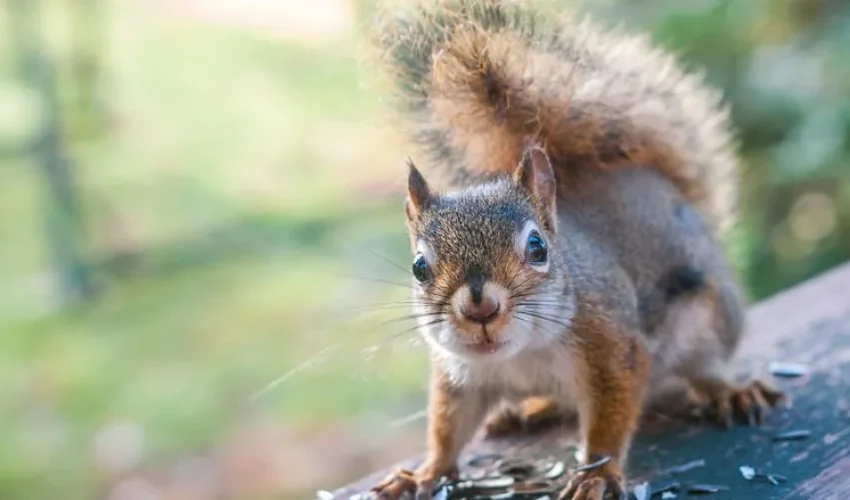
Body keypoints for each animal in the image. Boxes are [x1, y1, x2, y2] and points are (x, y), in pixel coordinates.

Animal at [364, 1, 785, 499]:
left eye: (537, 247)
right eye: (419, 266)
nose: (480, 306)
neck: (521, 354)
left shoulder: (613, 344)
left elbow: (609, 419)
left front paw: (597, 475)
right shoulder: (461, 377)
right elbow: (449, 428)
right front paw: (424, 474)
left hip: (708, 321)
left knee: (709, 367)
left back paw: (730, 392)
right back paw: (529, 410)